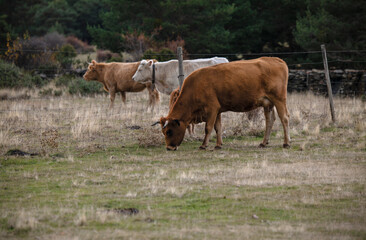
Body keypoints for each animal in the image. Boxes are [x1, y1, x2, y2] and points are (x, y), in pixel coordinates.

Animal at [159, 57, 290, 150]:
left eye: (169, 131)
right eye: (163, 132)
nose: (168, 148)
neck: (195, 87)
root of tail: (276, 60)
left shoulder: (212, 109)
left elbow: (208, 128)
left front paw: (204, 145)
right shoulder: (217, 111)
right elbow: (218, 127)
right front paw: (218, 144)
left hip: (279, 99)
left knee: (284, 118)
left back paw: (286, 143)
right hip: (268, 104)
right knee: (269, 121)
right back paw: (264, 143)